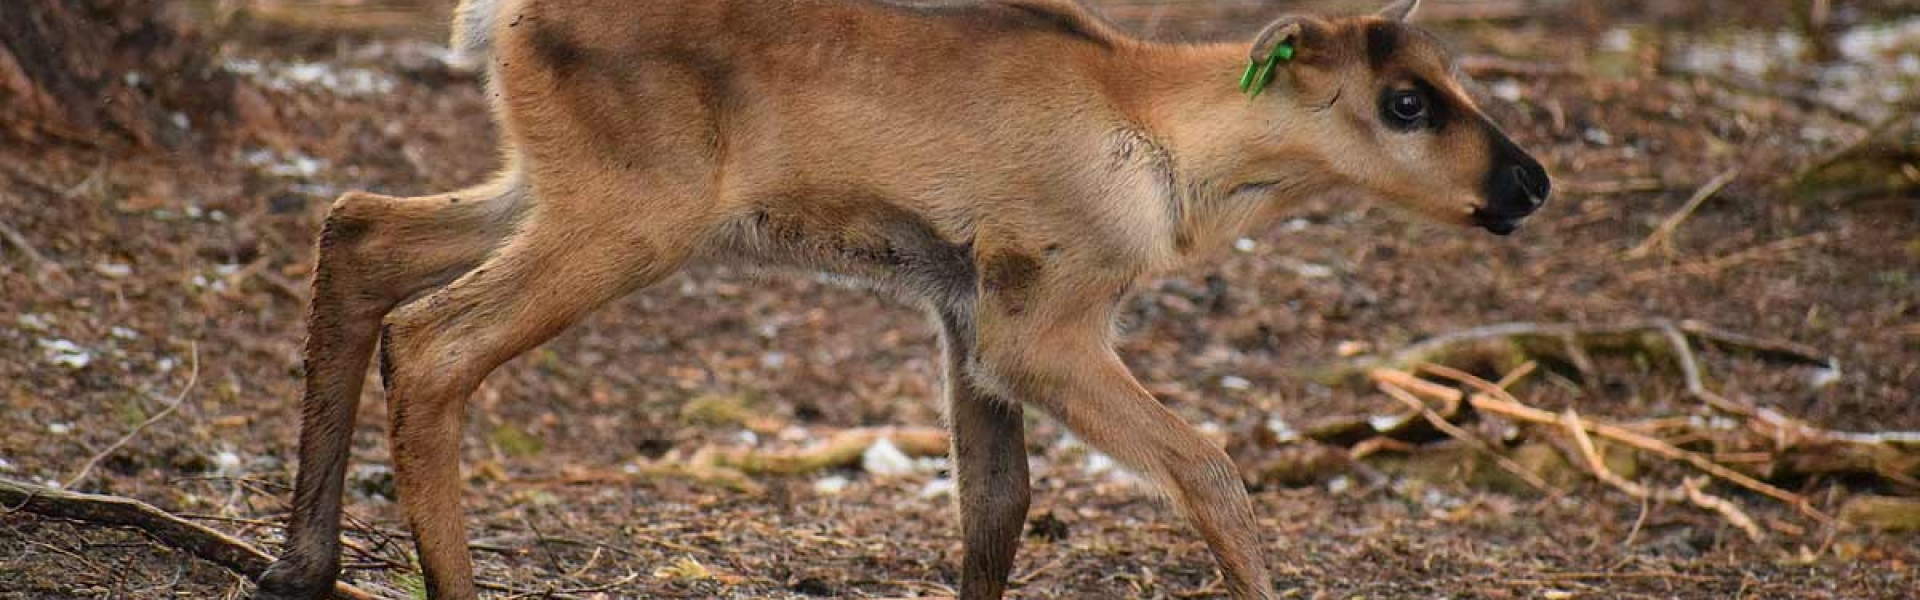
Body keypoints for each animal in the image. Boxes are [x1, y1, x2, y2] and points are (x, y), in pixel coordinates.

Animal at [259, 0, 1543, 596]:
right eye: (1407, 103)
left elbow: (997, 508)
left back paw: (300, 562)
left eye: (1454, 77)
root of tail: (500, 16)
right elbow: (1212, 472)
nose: (1529, 181)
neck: (1172, 153)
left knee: (359, 231)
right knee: (434, 342)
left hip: (547, 184)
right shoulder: (1043, 325)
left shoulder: (965, 322)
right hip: (631, 216)